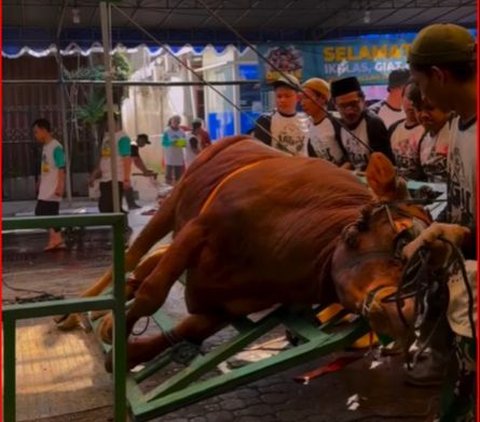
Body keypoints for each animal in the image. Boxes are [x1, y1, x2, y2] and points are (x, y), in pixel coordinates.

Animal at [72, 137, 436, 370]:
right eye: (402, 236)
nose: (404, 312)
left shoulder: (222, 308)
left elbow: (186, 331)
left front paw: (127, 353)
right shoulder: (200, 227)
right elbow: (152, 294)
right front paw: (119, 347)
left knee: (148, 263)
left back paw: (103, 316)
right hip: (173, 203)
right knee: (137, 253)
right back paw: (80, 309)